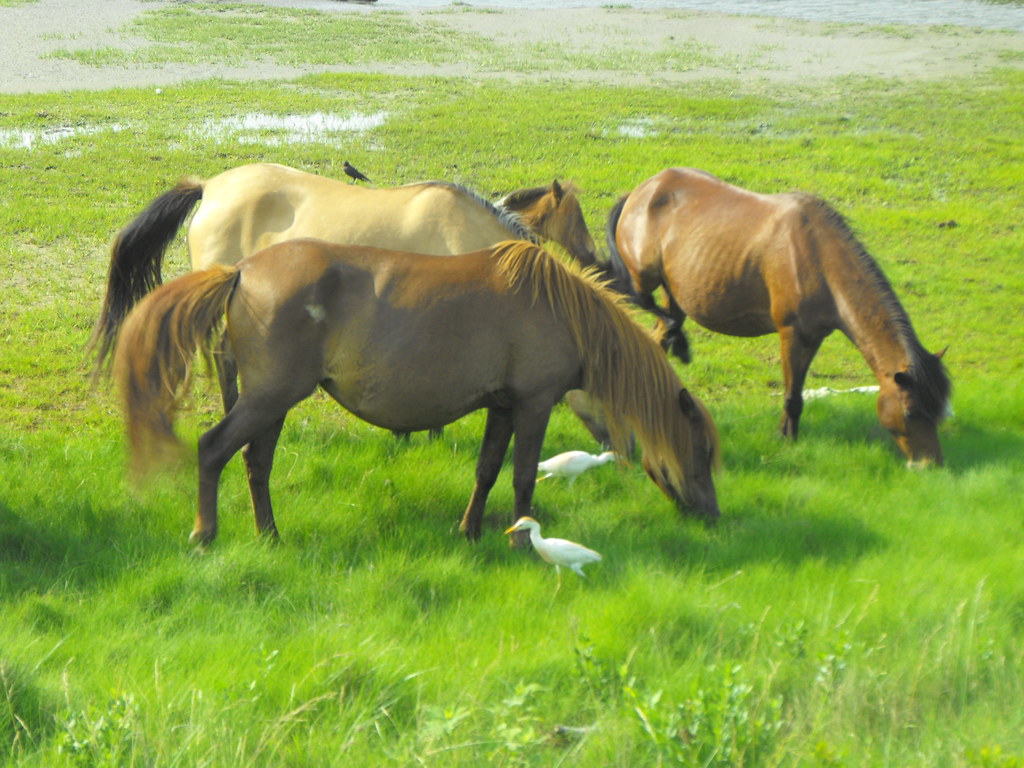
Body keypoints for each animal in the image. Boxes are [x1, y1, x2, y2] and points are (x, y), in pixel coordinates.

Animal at [113, 239, 720, 545]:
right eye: (701, 452)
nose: (712, 516)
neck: (560, 310)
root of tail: (240, 270)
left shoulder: (503, 407)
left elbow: (487, 470)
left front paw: (470, 532)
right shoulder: (532, 406)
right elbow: (523, 477)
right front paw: (522, 541)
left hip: (272, 404)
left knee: (256, 464)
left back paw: (271, 536)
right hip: (268, 399)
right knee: (214, 449)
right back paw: (205, 533)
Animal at [606, 167, 951, 467]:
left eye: (940, 411)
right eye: (911, 413)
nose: (929, 464)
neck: (819, 257)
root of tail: (640, 192)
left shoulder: (813, 337)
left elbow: (796, 393)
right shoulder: (791, 333)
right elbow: (791, 396)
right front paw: (787, 439)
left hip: (674, 291)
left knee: (660, 334)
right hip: (646, 277)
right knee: (644, 304)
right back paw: (679, 345)